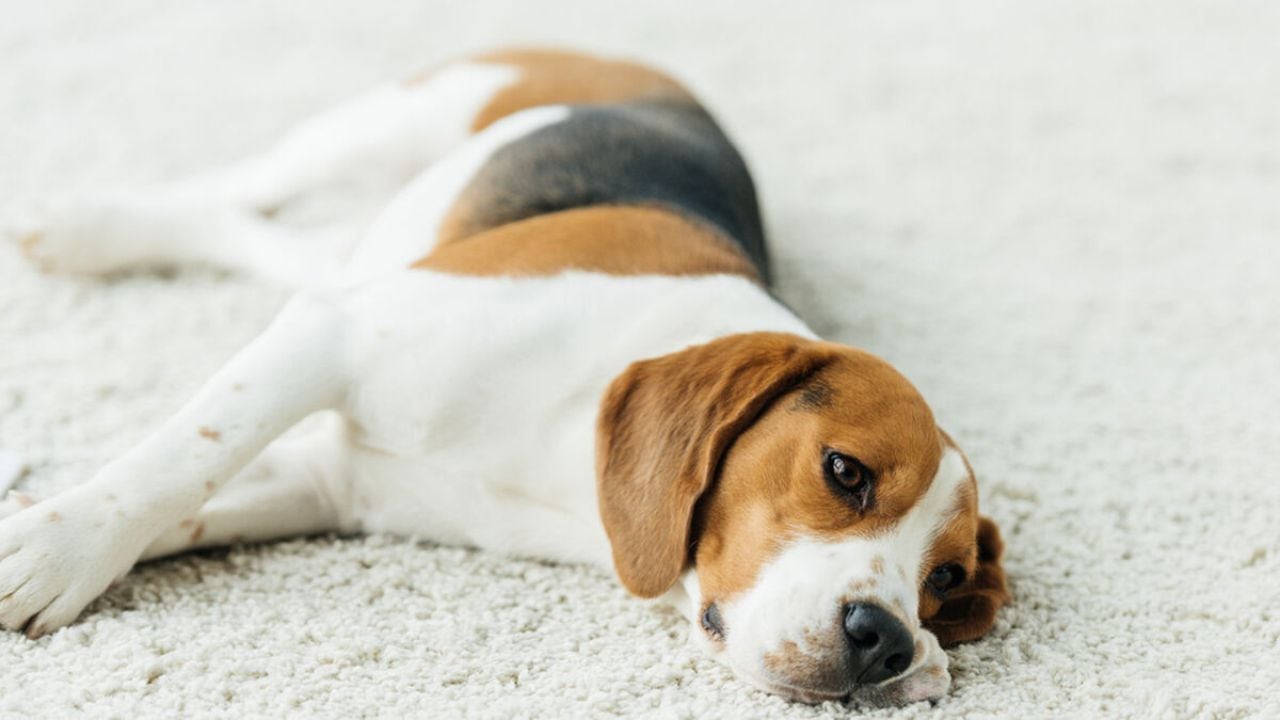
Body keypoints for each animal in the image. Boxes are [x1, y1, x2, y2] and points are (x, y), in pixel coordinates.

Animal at [5, 49, 1013, 702]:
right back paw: (87, 227)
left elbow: (191, 507)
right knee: (232, 190)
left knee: (258, 233)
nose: (886, 641)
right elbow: (175, 465)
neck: (567, 456)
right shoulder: (336, 338)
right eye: (845, 472)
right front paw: (54, 550)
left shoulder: (333, 481)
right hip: (377, 128)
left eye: (945, 580)